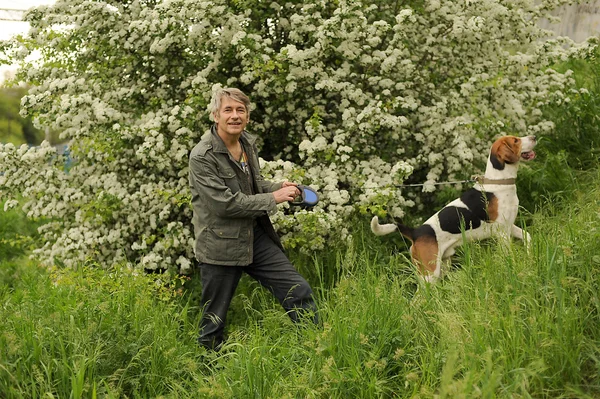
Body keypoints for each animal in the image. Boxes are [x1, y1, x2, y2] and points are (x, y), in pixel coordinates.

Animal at [372, 136, 536, 282]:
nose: (534, 137)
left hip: (442, 266)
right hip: (430, 274)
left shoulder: (509, 226)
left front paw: (530, 255)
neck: (499, 181)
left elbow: (527, 236)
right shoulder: (502, 232)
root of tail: (415, 232)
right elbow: (509, 255)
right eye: (515, 140)